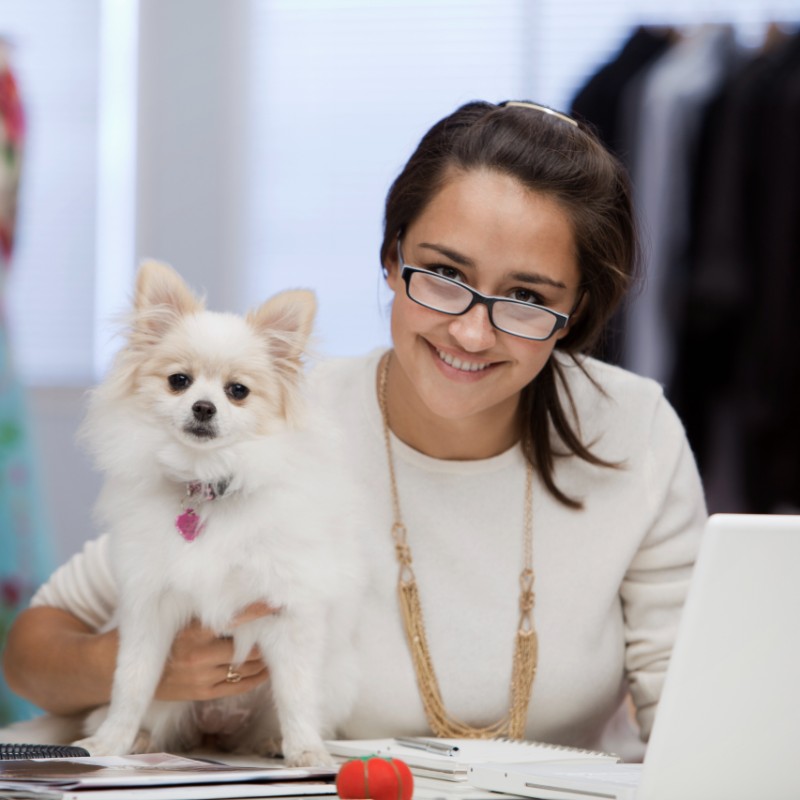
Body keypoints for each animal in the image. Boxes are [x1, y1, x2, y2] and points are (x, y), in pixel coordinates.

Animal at [72, 260, 366, 764]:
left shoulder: (288, 610)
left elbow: (296, 693)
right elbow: (131, 681)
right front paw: (111, 743)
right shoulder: (148, 607)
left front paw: (307, 753)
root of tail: (217, 732)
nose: (204, 407)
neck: (207, 485)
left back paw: (272, 743)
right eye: (179, 381)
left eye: (238, 391)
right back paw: (142, 740)